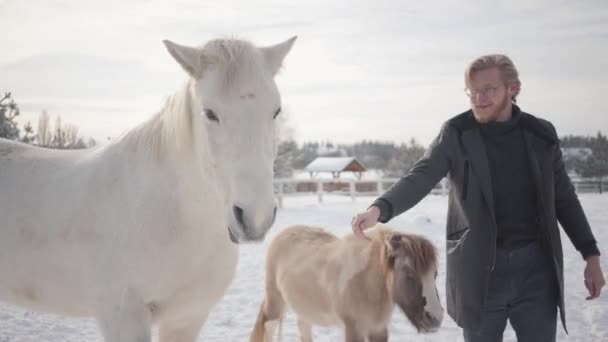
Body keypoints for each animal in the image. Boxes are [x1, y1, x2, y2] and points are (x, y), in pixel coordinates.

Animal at [249, 224, 444, 342]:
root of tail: (284, 233)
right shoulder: (353, 330)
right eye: (409, 273)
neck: (366, 285)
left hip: (304, 308)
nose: (435, 319)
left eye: (434, 274)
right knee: (269, 326)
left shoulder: (378, 329)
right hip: (275, 302)